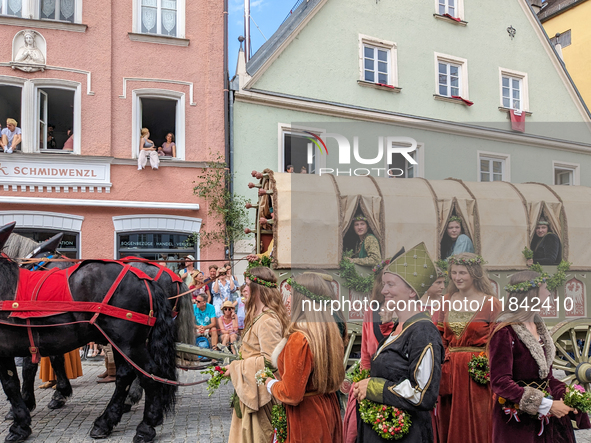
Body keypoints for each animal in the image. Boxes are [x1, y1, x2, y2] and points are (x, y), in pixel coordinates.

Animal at [0, 224, 178, 442]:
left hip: (129, 344)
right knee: (126, 375)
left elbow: (14, 380)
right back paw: (107, 421)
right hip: (121, 343)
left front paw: (20, 422)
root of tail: (145, 279)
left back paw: (146, 425)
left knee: (148, 373)